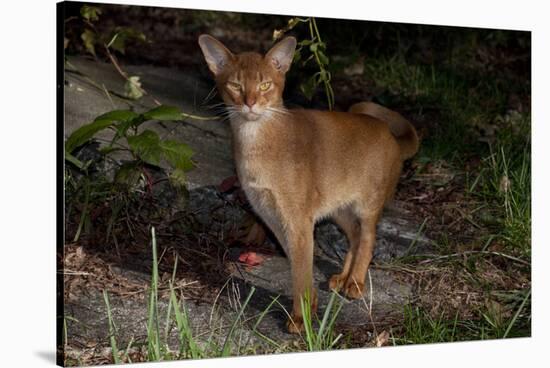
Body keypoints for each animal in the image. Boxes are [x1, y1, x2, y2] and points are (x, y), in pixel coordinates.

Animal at [198, 34, 418, 334]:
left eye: (265, 84)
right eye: (235, 85)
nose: (251, 103)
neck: (255, 143)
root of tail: (389, 134)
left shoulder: (298, 220)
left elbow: (301, 269)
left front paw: (301, 318)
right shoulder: (273, 216)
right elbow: (298, 265)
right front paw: (310, 305)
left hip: (368, 205)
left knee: (368, 238)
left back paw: (355, 282)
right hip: (337, 208)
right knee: (355, 235)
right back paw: (343, 277)